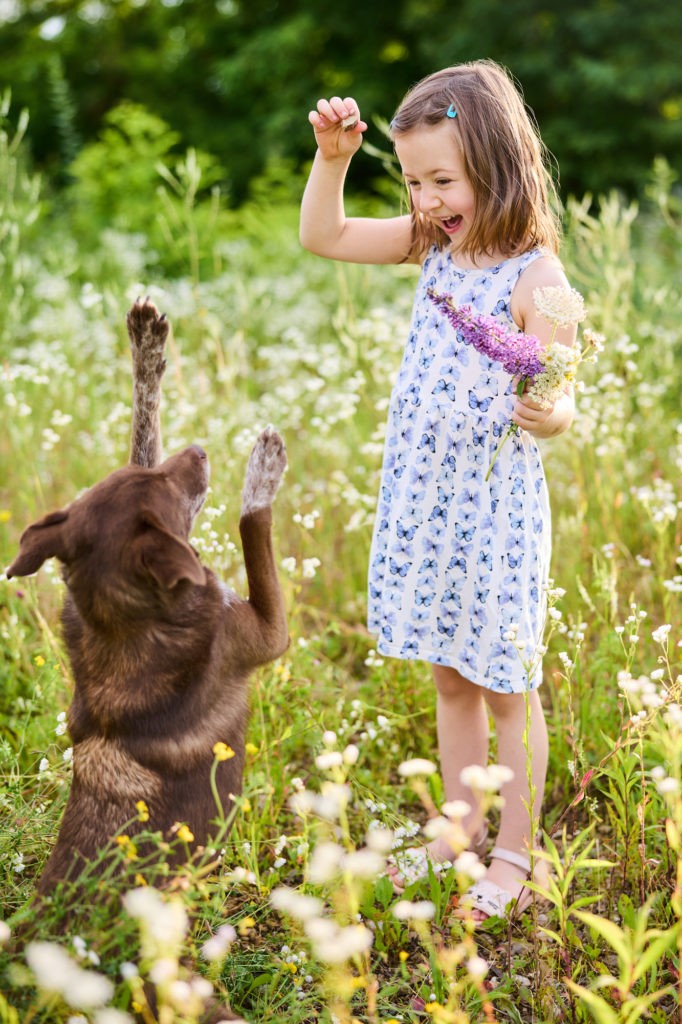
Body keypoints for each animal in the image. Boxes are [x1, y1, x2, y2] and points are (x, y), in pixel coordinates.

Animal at [5, 299, 286, 897]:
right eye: (171, 490)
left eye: (151, 477)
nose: (200, 450)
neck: (133, 624)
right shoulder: (264, 634)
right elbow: (254, 525)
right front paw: (263, 468)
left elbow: (143, 428)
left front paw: (147, 348)